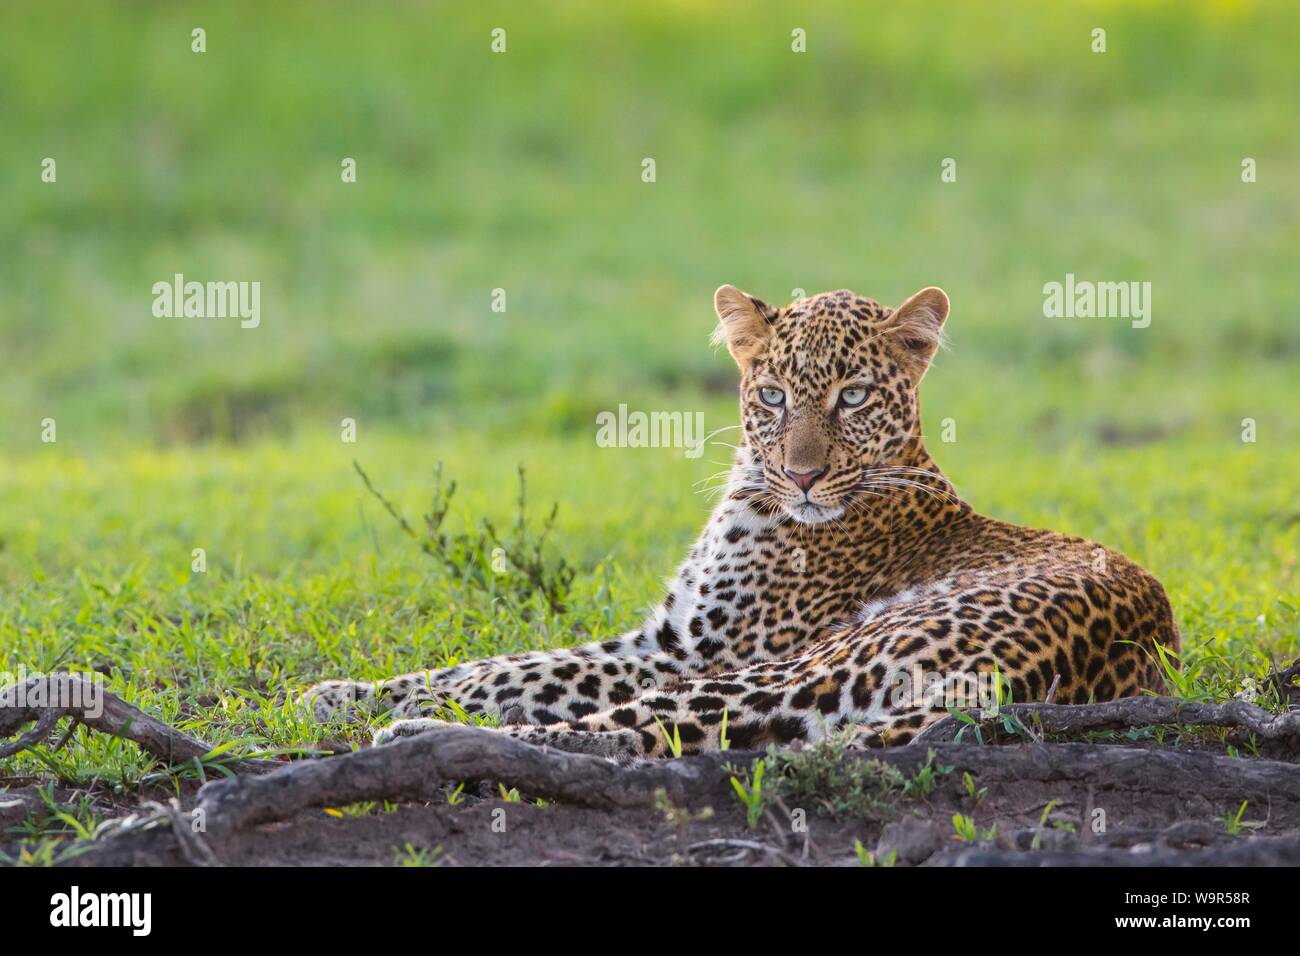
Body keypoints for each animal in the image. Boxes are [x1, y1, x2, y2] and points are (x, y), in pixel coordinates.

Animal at [306, 283, 1180, 764]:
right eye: (773, 395)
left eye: (853, 397)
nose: (802, 473)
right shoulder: (658, 639)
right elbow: (496, 666)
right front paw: (348, 691)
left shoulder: (693, 651)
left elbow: (514, 678)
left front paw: (346, 701)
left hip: (802, 666)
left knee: (631, 735)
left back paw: (415, 738)